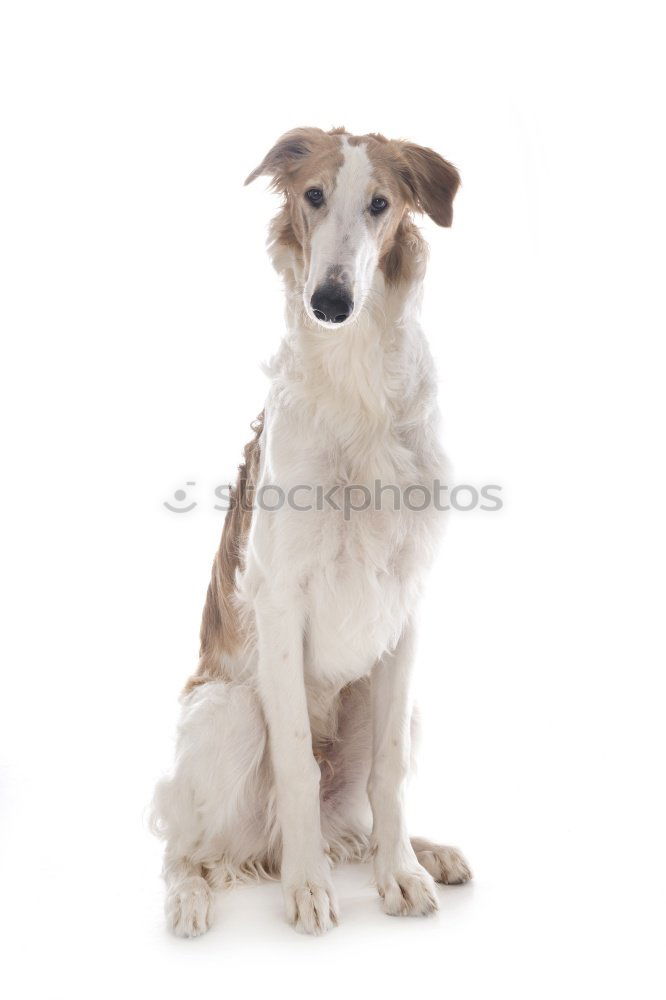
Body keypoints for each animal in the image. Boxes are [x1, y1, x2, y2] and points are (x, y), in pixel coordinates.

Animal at [150, 127, 472, 936]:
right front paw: (306, 889)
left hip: (394, 705)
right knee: (185, 847)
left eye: (381, 203)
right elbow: (295, 760)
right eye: (314, 196)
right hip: (227, 710)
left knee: (354, 816)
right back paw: (197, 896)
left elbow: (389, 774)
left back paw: (422, 853)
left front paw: (403, 875)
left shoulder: (406, 603)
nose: (330, 301)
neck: (357, 381)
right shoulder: (280, 599)